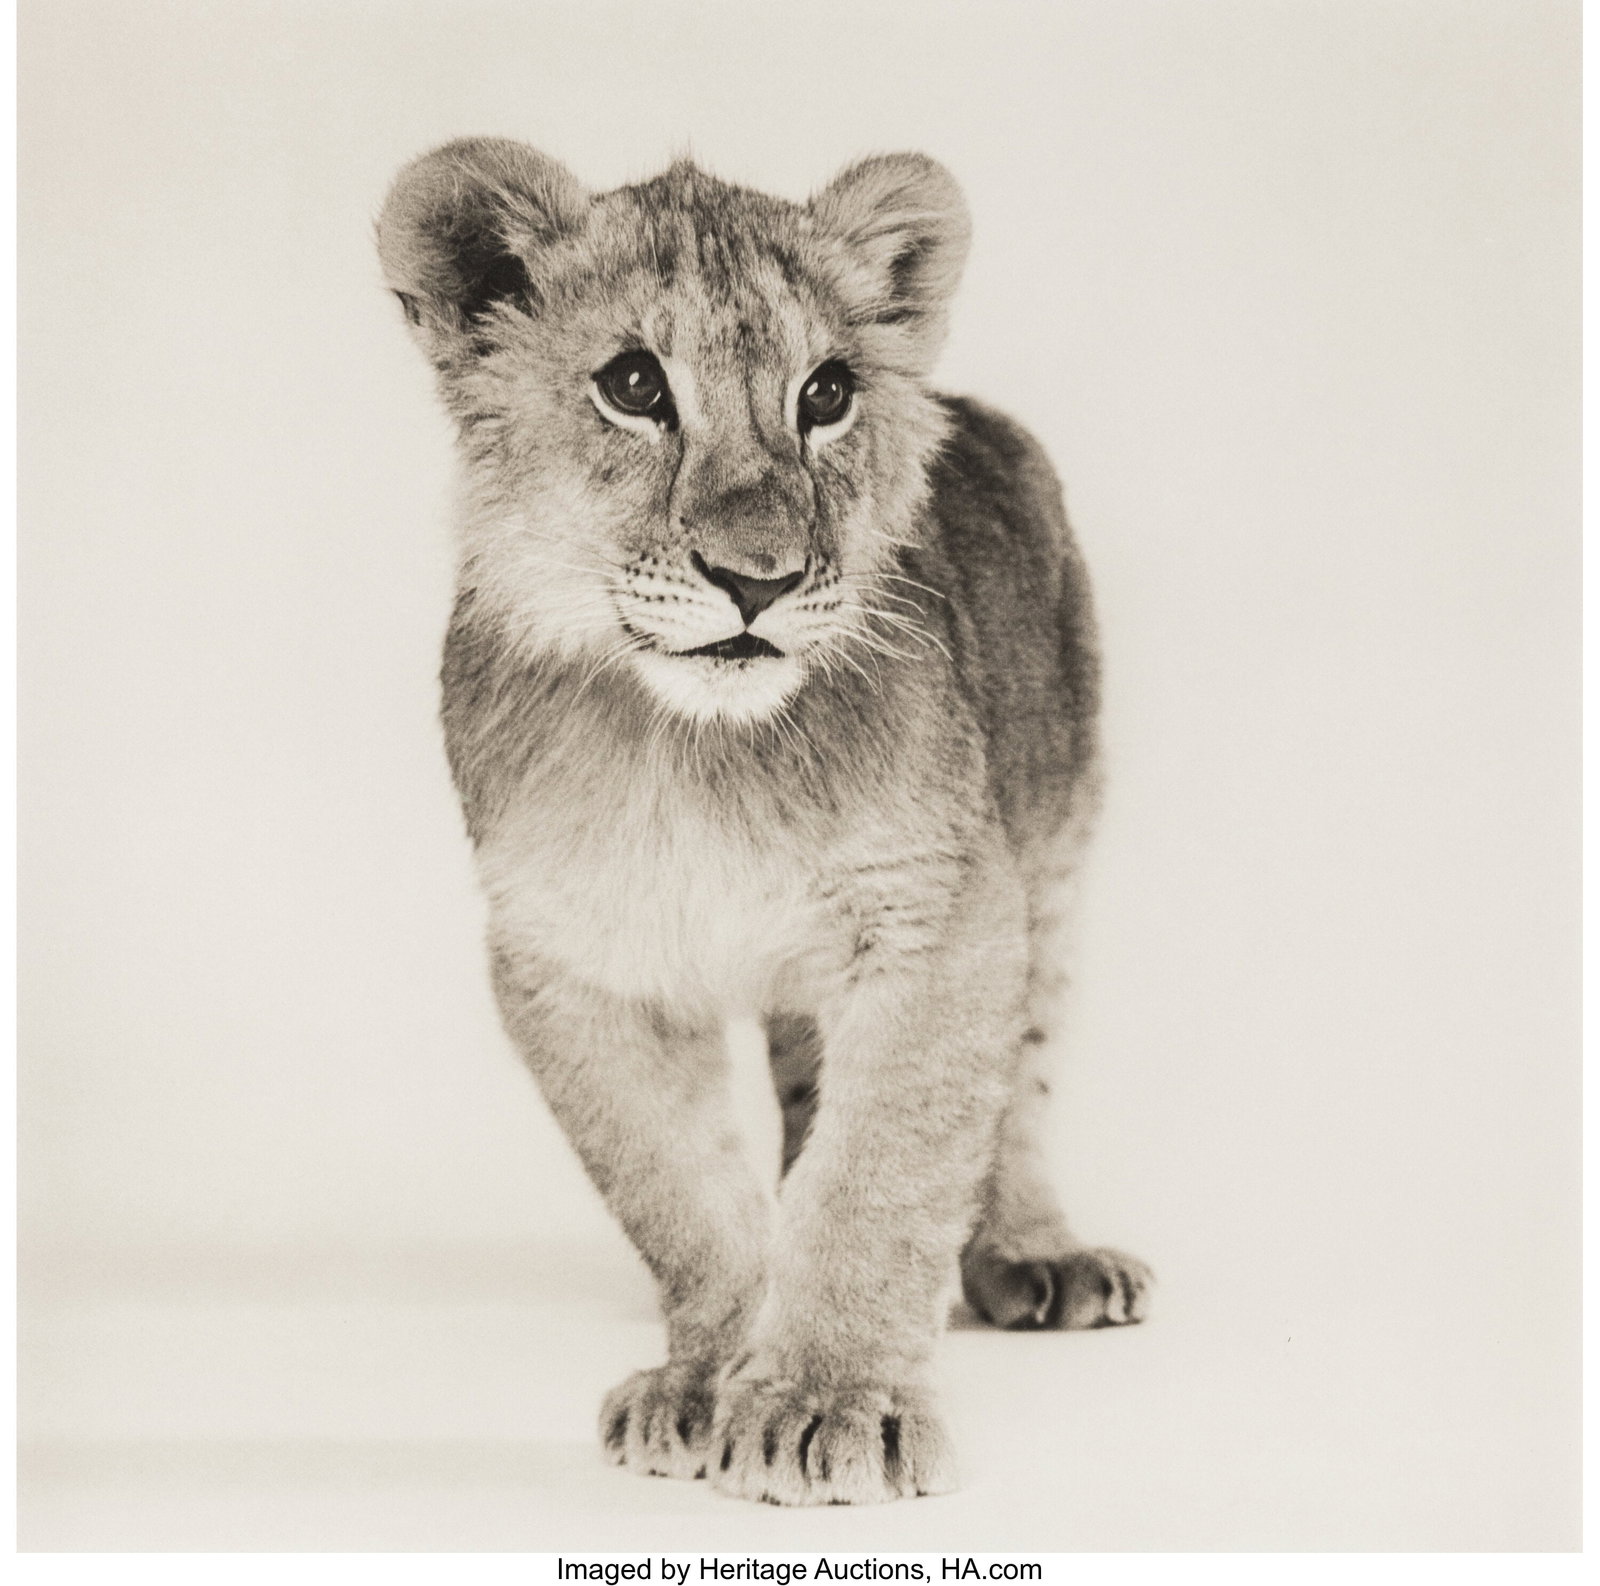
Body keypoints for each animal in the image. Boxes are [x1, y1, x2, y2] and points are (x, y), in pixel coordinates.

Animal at [376, 138, 1150, 1506]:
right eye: (634, 384)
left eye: (827, 392)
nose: (761, 578)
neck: (699, 754)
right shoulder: (567, 958)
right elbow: (679, 1188)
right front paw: (708, 1378)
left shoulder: (939, 913)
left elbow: (881, 1172)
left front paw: (826, 1399)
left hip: (1056, 842)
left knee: (1021, 1081)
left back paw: (1034, 1254)